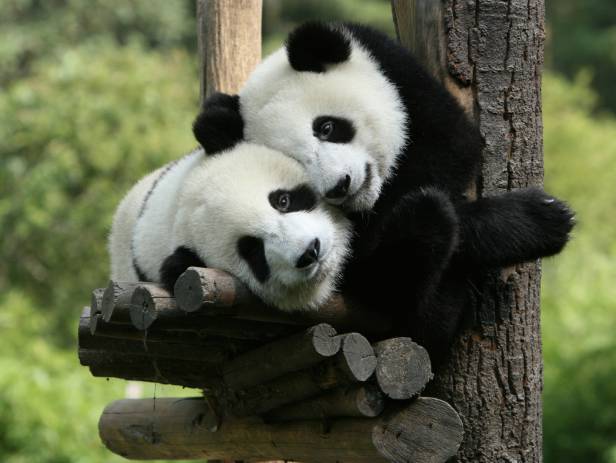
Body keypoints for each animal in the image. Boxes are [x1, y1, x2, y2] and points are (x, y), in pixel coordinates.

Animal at [194, 21, 576, 364]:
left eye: (327, 127)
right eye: (297, 162)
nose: (340, 186)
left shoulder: (400, 77)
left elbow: (452, 146)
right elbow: (371, 258)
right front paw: (541, 220)